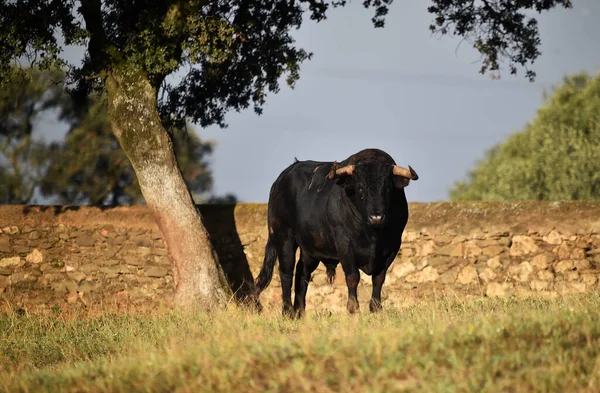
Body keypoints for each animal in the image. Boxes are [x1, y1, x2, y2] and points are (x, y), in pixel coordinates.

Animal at [251, 147, 420, 316]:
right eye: (360, 188)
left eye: (388, 189)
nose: (376, 217)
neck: (373, 235)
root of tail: (281, 179)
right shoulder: (345, 246)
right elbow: (353, 277)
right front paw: (353, 308)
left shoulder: (392, 247)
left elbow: (379, 278)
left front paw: (376, 308)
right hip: (283, 237)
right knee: (286, 272)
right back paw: (288, 312)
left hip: (309, 248)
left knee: (302, 273)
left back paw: (300, 312)